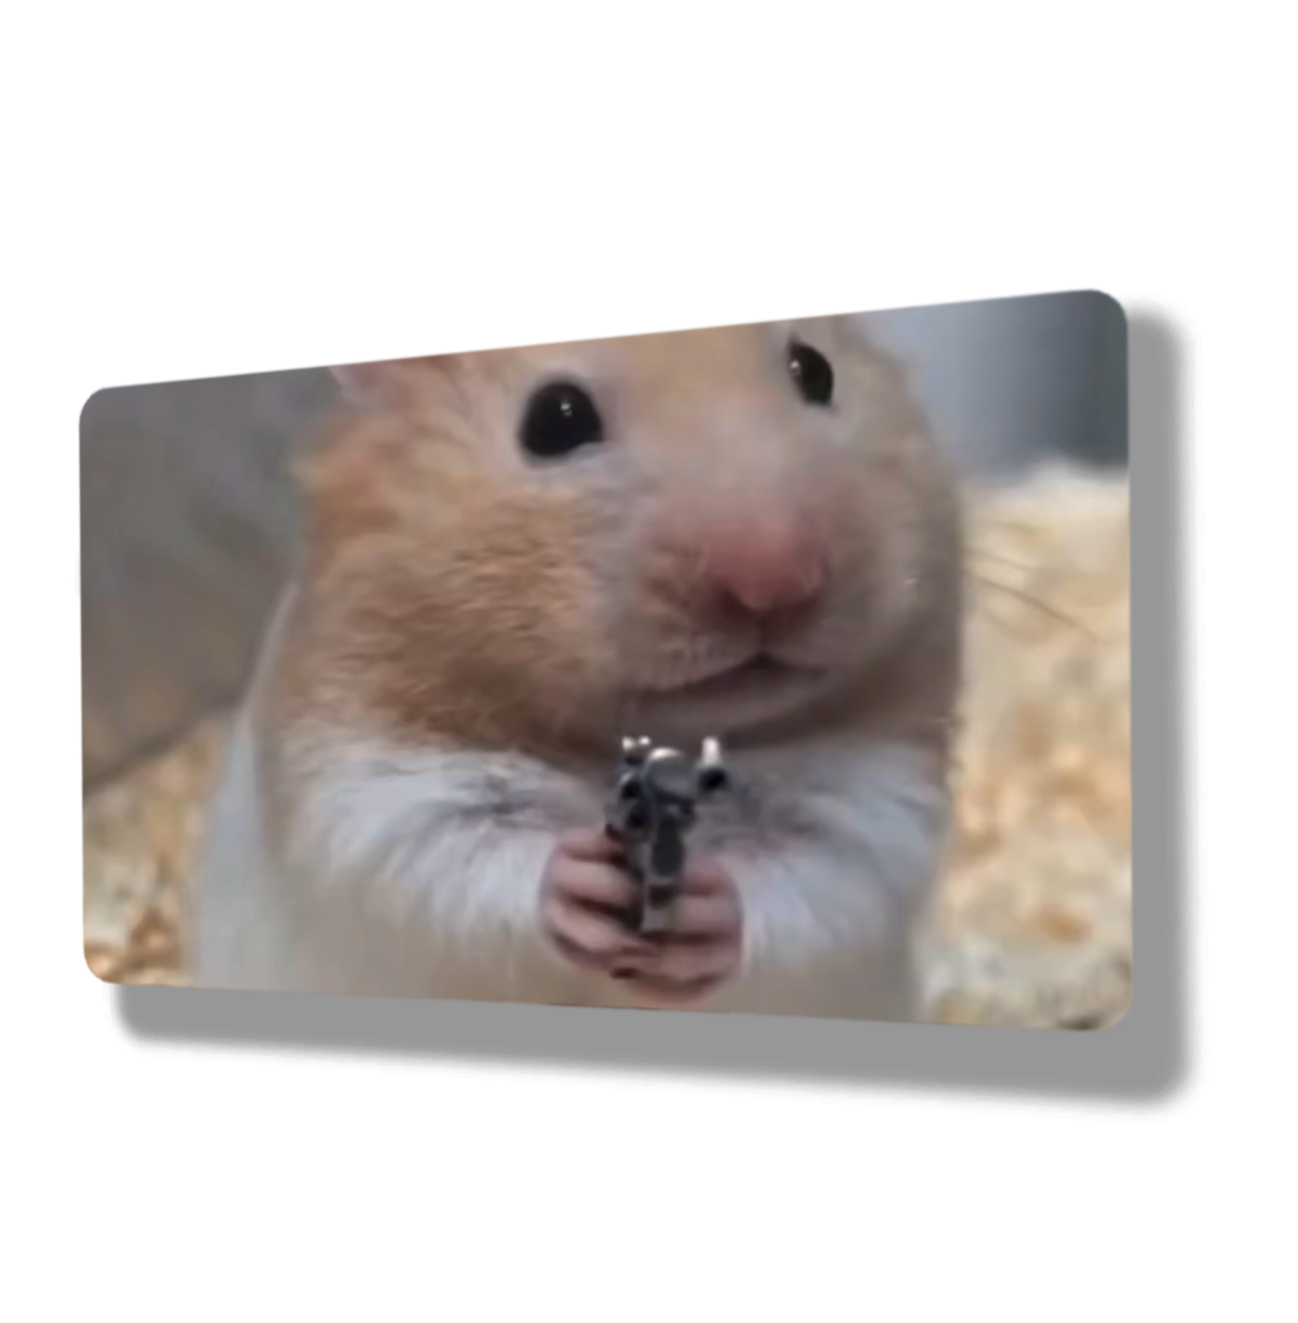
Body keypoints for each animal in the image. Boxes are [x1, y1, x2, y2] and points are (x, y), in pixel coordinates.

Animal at [192, 315, 964, 1022]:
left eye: (815, 371)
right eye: (555, 419)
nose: (778, 580)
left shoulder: (878, 800)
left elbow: (820, 876)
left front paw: (705, 910)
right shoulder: (366, 784)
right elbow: (452, 856)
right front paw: (581, 885)